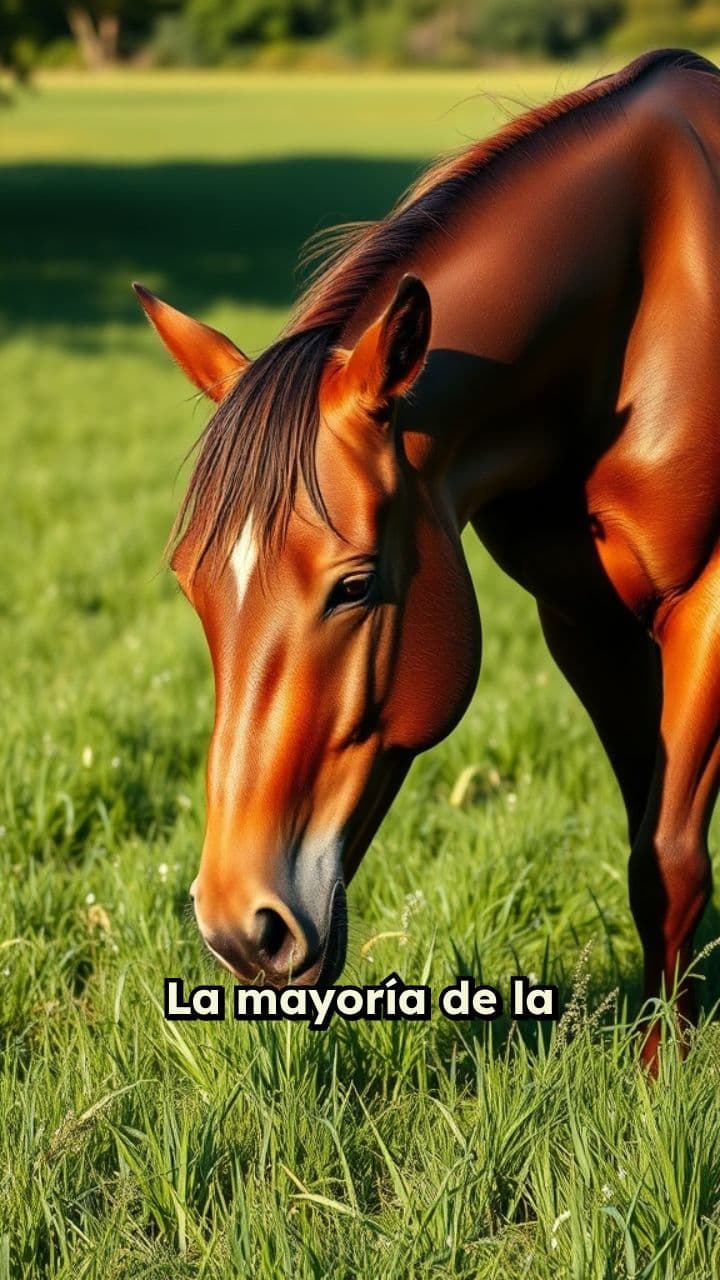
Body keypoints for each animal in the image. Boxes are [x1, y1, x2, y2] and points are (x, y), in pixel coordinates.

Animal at [135, 49, 720, 1067]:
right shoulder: (586, 623)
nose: (240, 928)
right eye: (194, 589)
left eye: (356, 585)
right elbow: (648, 838)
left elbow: (670, 856)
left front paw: (667, 1075)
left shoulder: (710, 600)